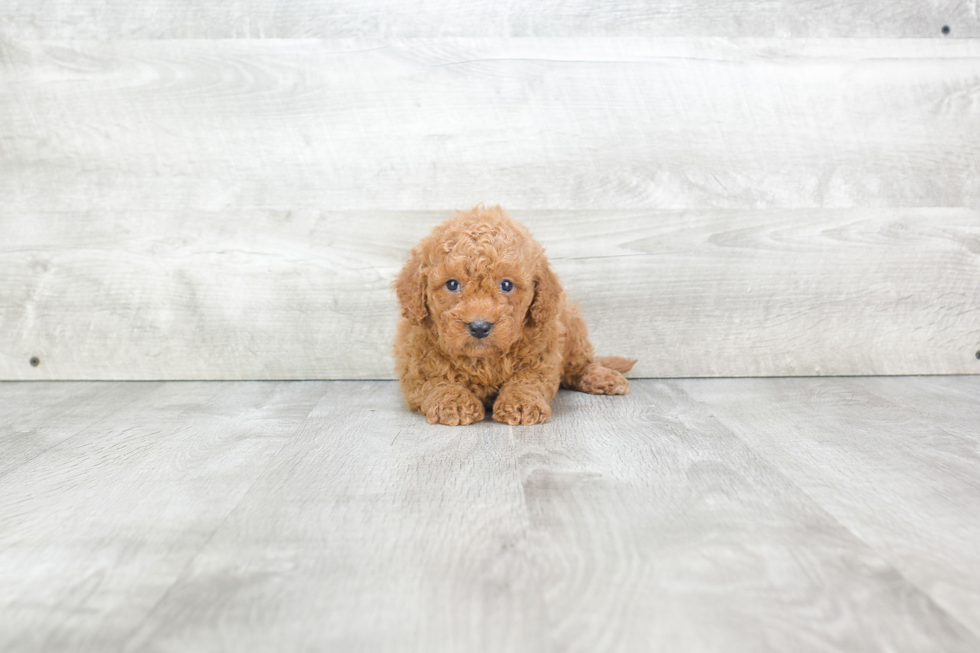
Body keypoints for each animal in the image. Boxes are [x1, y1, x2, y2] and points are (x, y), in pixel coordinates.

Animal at [390, 205, 636, 428]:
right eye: (452, 284)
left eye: (506, 285)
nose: (479, 327)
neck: (482, 359)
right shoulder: (417, 367)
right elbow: (438, 382)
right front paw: (454, 402)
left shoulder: (541, 357)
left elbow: (526, 380)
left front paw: (520, 403)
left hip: (571, 325)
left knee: (579, 364)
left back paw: (603, 376)